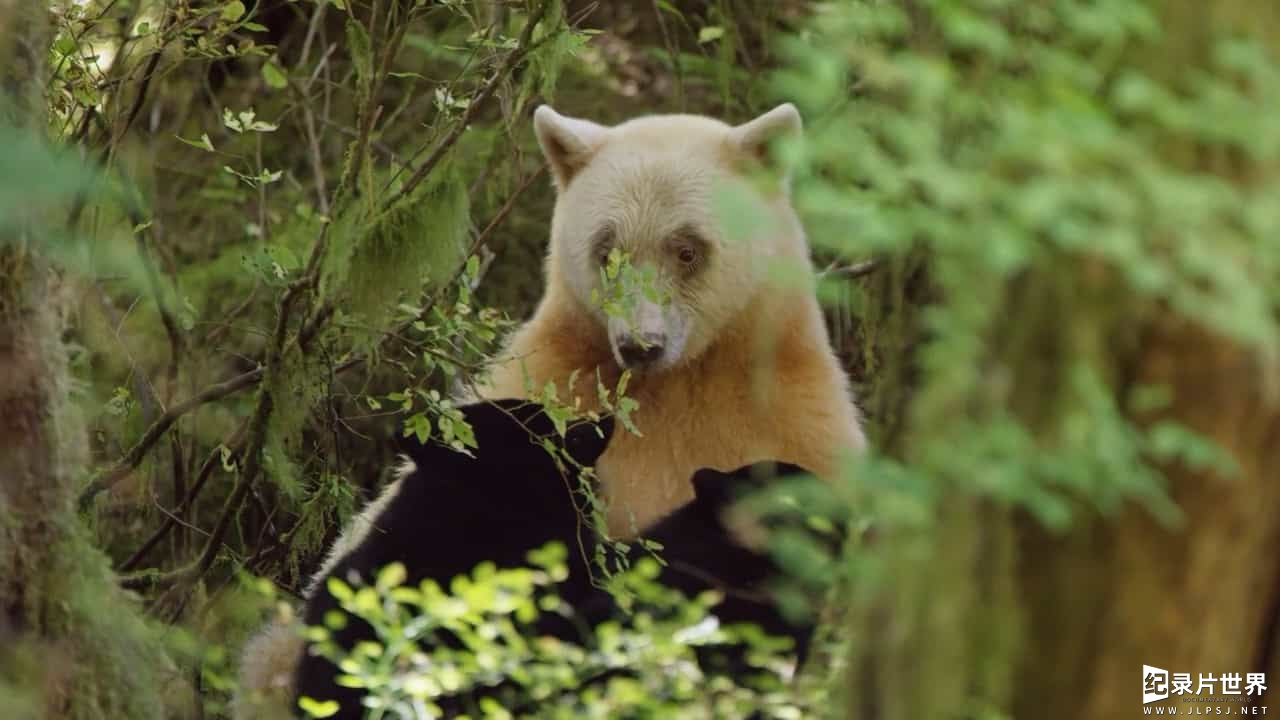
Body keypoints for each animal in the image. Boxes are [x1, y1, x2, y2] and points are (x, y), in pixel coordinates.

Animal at [476, 103, 865, 535]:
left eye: (687, 250)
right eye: (607, 252)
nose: (640, 345)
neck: (678, 379)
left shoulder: (793, 420)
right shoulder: (555, 374)